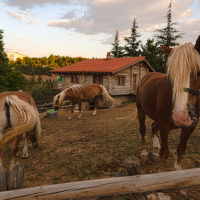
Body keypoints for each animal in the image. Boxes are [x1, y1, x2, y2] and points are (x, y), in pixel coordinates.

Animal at [135, 35, 200, 172]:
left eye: (199, 72)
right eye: (171, 74)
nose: (181, 115)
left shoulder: (190, 126)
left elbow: (181, 149)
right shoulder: (164, 125)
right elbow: (165, 152)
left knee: (153, 127)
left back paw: (155, 150)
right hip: (141, 110)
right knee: (143, 129)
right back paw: (144, 153)